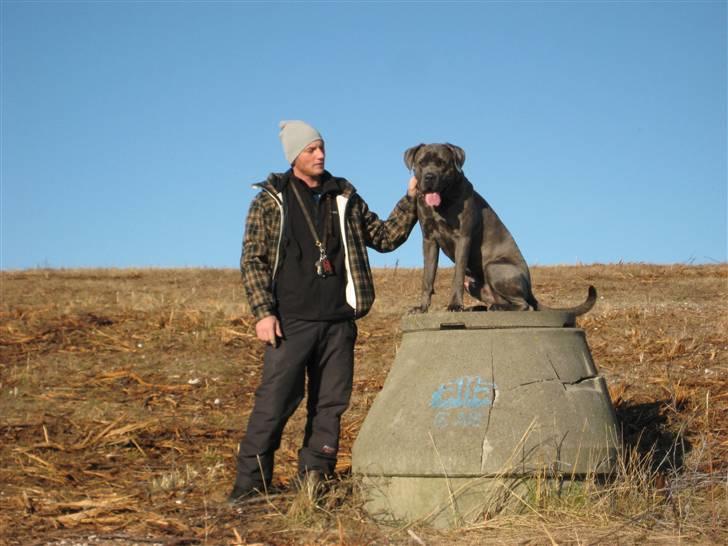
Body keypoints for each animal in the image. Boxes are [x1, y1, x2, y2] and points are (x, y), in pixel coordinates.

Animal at [404, 143, 596, 314]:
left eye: (442, 163)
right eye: (421, 163)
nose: (429, 176)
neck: (442, 203)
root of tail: (530, 290)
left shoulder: (463, 238)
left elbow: (457, 275)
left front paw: (455, 306)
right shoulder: (429, 240)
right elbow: (427, 278)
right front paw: (422, 308)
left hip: (494, 268)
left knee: (525, 305)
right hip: (472, 283)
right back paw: (480, 308)